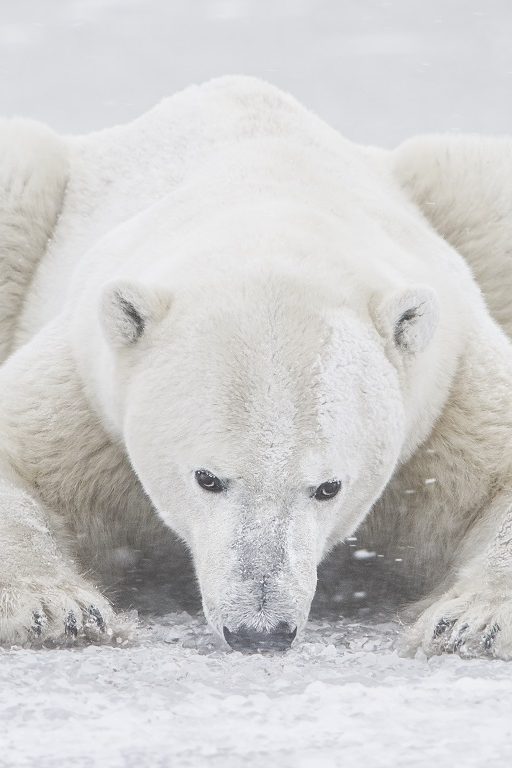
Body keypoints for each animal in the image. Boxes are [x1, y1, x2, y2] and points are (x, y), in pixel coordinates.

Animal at [1, 76, 512, 656]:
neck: (271, 212)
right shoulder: (87, 385)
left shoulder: (448, 388)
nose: (259, 632)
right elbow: (20, 457)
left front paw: (471, 622)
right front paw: (56, 611)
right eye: (207, 478)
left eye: (328, 487)